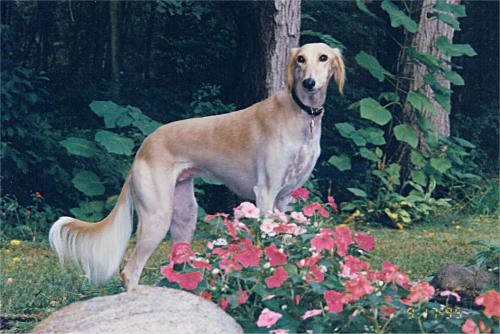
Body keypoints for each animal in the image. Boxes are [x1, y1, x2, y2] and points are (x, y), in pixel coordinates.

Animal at [48, 43, 344, 290]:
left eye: (323, 57)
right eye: (300, 59)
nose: (308, 83)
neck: (302, 115)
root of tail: (142, 149)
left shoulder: (284, 197)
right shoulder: (266, 192)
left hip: (185, 216)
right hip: (157, 216)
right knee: (130, 271)